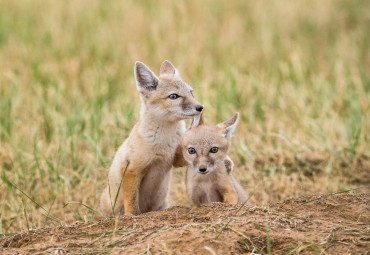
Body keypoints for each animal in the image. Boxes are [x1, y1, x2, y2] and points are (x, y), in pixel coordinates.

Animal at [100, 60, 202, 215]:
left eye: (191, 92)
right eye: (174, 96)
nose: (200, 107)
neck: (165, 141)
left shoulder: (174, 160)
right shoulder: (131, 169)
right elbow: (132, 202)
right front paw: (130, 216)